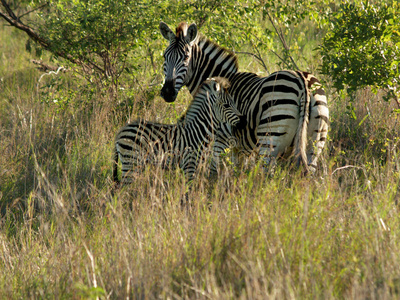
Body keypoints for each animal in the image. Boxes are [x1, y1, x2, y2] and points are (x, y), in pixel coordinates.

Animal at [112, 78, 247, 185]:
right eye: (226, 105)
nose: (244, 120)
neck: (199, 131)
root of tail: (120, 132)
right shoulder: (189, 164)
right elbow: (189, 191)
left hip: (135, 164)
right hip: (131, 161)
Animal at [158, 21, 330, 173]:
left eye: (186, 57)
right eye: (164, 57)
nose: (167, 92)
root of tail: (303, 82)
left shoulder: (222, 138)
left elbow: (214, 170)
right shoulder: (242, 147)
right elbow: (238, 171)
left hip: (270, 138)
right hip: (315, 142)